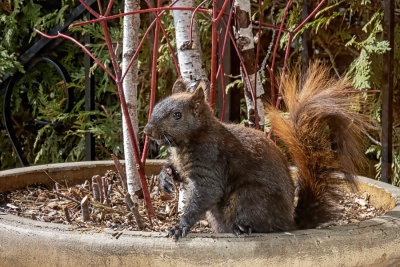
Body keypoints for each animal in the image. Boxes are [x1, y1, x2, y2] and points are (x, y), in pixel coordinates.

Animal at [144, 64, 368, 241]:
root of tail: (290, 222)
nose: (147, 131)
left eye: (177, 115)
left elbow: (207, 192)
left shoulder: (210, 162)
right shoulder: (181, 163)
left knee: (265, 225)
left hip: (248, 198)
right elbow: (174, 170)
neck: (184, 143)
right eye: (157, 105)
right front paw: (165, 178)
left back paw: (245, 228)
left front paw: (180, 226)